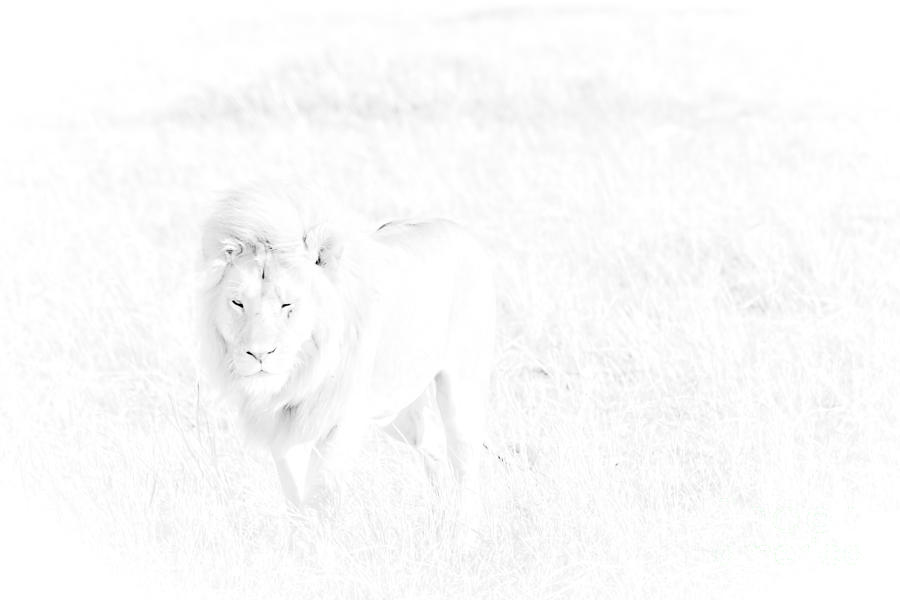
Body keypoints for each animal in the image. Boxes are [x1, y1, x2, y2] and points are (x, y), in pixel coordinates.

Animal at [199, 187, 495, 528]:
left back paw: (465, 528)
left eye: (288, 304)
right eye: (238, 303)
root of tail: (460, 230)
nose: (259, 353)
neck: (303, 371)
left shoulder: (342, 419)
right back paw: (440, 512)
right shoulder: (284, 425)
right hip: (395, 412)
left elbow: (323, 490)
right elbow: (294, 494)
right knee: (431, 439)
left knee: (464, 461)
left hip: (460, 387)